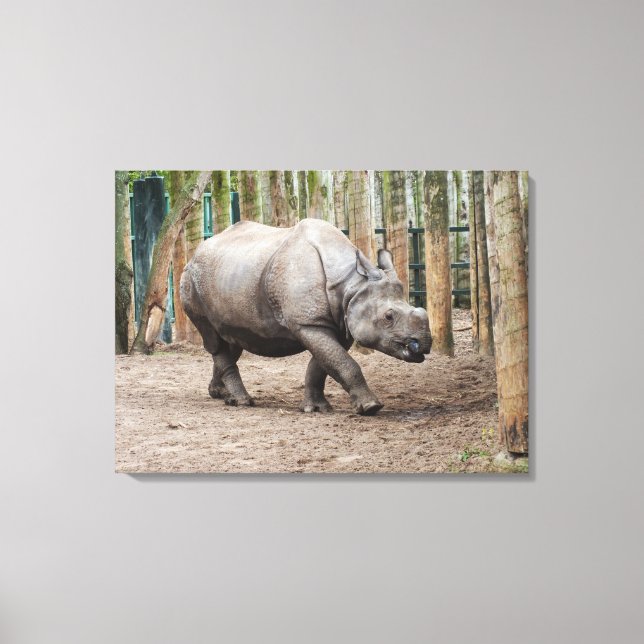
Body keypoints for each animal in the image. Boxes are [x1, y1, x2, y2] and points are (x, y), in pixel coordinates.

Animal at [180, 218, 431, 415]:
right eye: (389, 316)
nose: (424, 343)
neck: (351, 285)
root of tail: (194, 254)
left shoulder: (336, 324)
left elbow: (322, 365)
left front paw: (317, 409)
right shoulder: (309, 324)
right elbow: (343, 363)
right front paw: (371, 407)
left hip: (229, 275)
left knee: (231, 339)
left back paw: (221, 394)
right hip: (190, 280)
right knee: (214, 339)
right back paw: (243, 402)